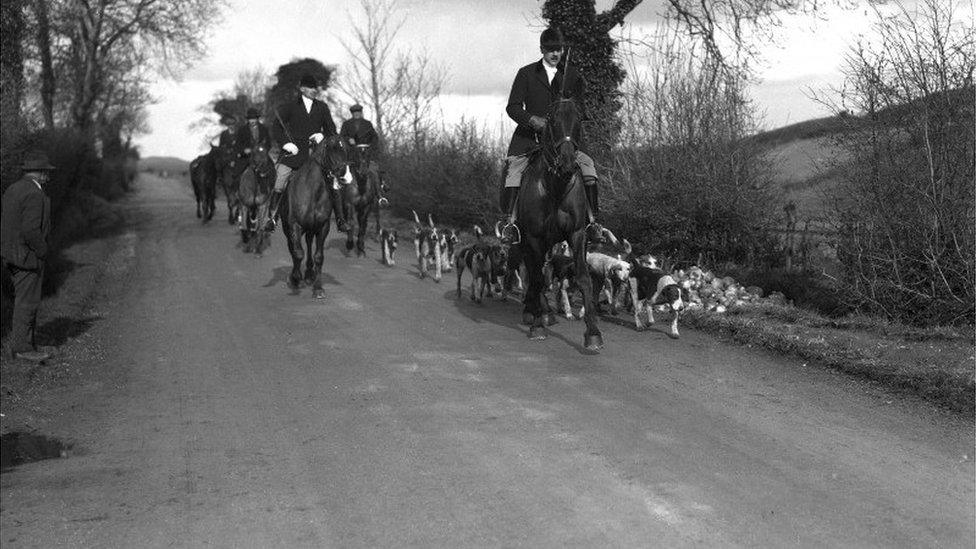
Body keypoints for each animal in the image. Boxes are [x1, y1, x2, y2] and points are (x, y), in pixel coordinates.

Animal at [278, 136, 350, 298]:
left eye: (345, 148)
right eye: (331, 148)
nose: (343, 174)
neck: (313, 192)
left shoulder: (323, 227)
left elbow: (319, 256)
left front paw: (318, 288)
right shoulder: (295, 225)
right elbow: (298, 253)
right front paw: (295, 278)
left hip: (311, 228)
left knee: (309, 244)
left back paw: (309, 274)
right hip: (288, 228)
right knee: (293, 248)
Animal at [520, 99, 604, 352]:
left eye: (579, 120)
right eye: (553, 120)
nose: (567, 163)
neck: (555, 186)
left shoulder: (577, 234)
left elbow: (584, 278)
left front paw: (593, 333)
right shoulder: (534, 237)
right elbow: (537, 278)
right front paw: (537, 326)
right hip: (526, 241)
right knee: (533, 273)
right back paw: (535, 311)